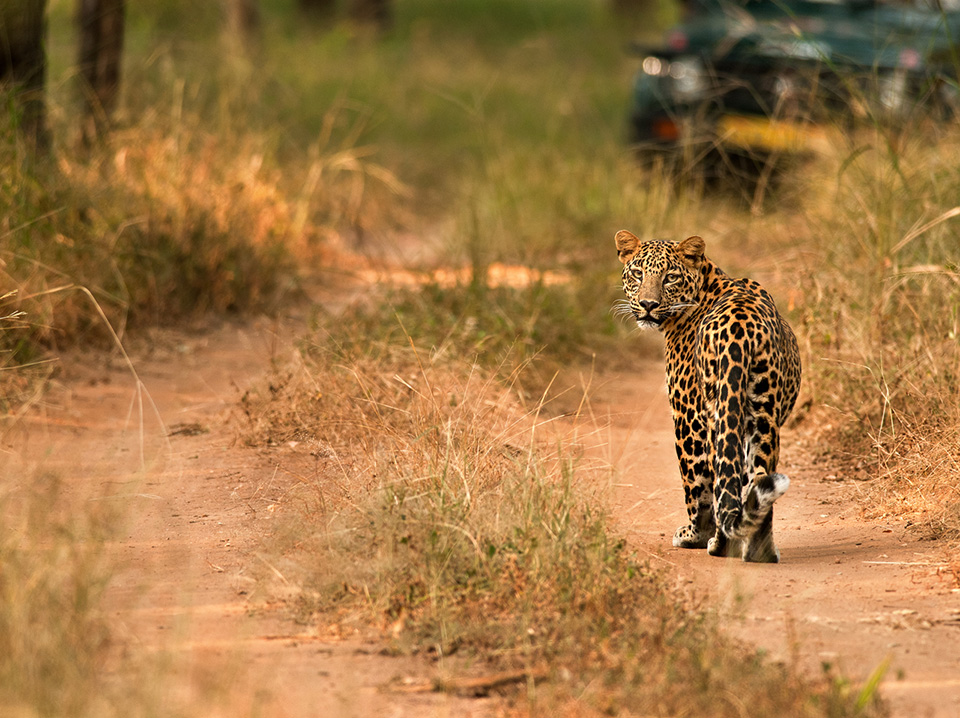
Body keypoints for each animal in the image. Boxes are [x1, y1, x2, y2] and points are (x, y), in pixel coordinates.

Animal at [616, 231, 804, 564]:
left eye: (670, 277)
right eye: (638, 273)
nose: (648, 305)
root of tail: (740, 327)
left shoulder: (685, 415)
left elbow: (694, 483)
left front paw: (693, 535)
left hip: (714, 415)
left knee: (718, 479)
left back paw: (718, 544)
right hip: (763, 413)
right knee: (758, 475)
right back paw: (760, 552)